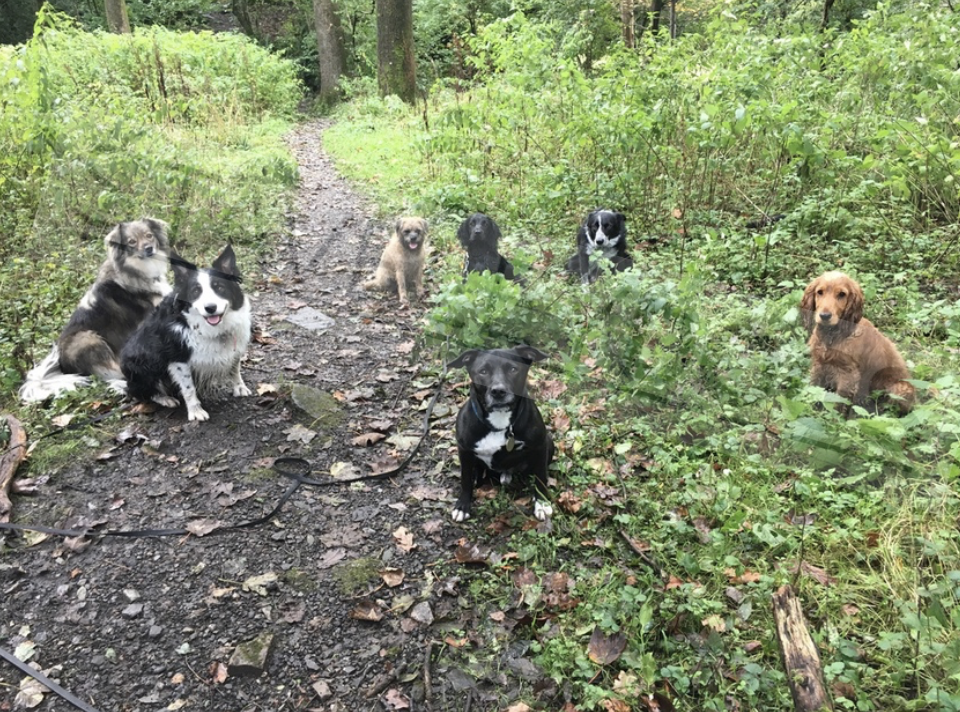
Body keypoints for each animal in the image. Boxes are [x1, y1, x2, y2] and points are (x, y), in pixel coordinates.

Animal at [446, 344, 552, 524]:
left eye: (513, 369)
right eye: (483, 371)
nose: (498, 391)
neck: (500, 420)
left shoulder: (540, 445)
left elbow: (541, 476)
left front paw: (542, 503)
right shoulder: (464, 449)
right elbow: (465, 479)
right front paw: (462, 506)